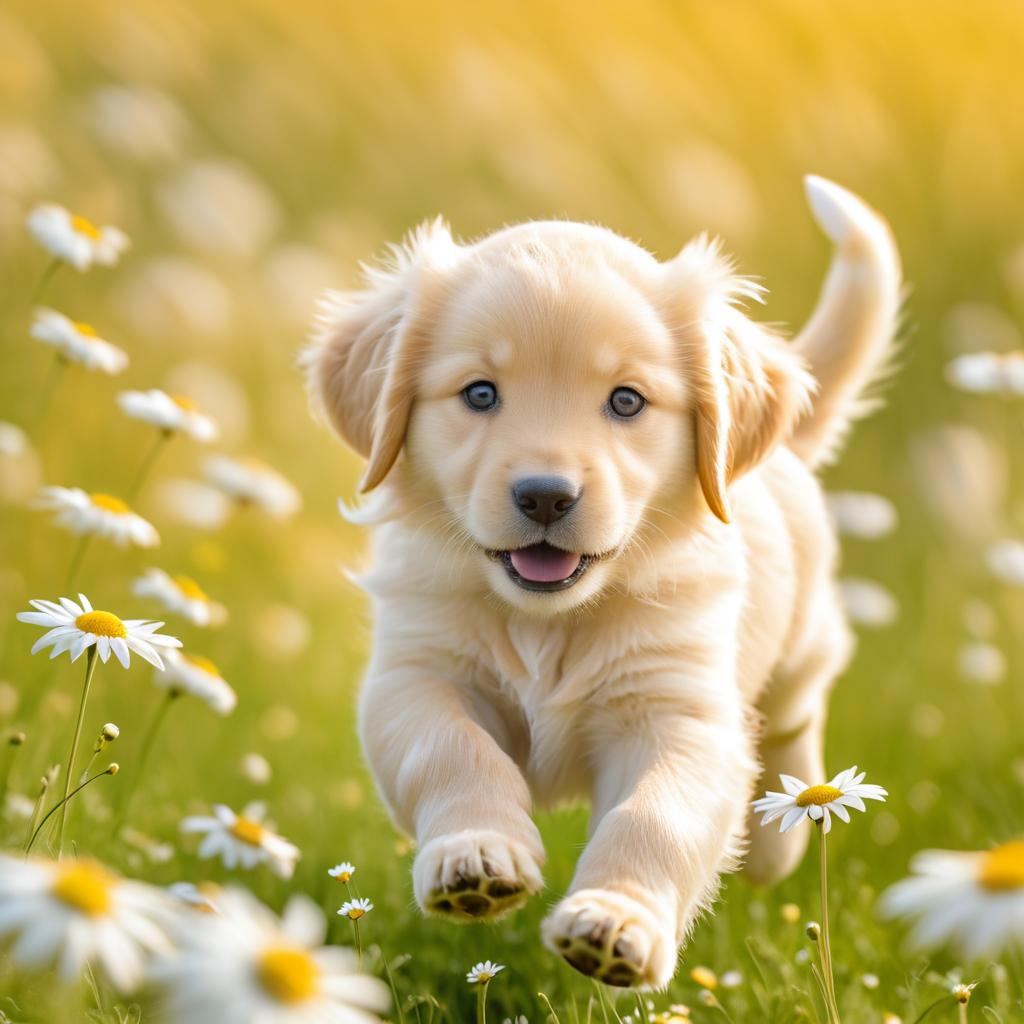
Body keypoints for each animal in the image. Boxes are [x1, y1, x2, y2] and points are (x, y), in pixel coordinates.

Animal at [301, 178, 897, 991]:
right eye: (479, 394)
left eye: (626, 401)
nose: (545, 496)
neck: (550, 620)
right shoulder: (417, 674)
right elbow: (453, 750)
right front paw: (474, 859)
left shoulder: (676, 709)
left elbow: (656, 814)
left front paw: (617, 924)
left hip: (802, 631)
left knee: (795, 711)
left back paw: (781, 833)